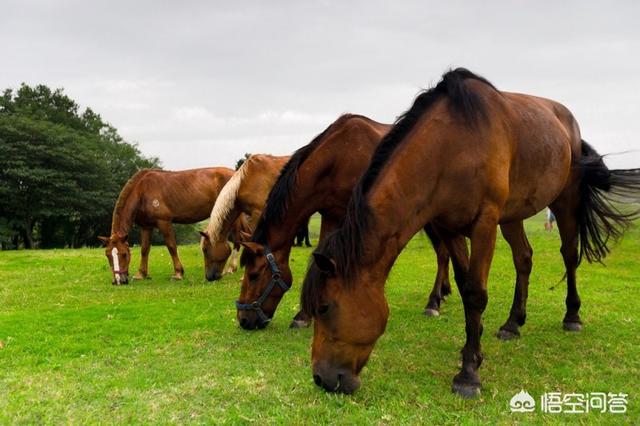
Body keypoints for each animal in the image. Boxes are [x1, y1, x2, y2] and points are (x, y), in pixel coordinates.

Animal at [102, 166, 235, 282]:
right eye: (108, 255)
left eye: (124, 254)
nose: (119, 280)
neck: (142, 190)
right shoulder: (146, 226)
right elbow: (144, 249)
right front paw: (141, 274)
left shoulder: (164, 222)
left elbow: (171, 246)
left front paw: (178, 273)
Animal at [236, 113, 456, 330]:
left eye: (253, 275)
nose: (243, 320)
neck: (338, 157)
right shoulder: (331, 215)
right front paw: (304, 316)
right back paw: (444, 292)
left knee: (443, 254)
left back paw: (433, 302)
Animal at [300, 68, 640, 398]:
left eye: (324, 307)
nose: (321, 378)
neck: (452, 147)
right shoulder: (450, 228)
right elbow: (465, 288)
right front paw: (473, 349)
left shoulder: (484, 224)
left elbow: (476, 293)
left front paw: (468, 374)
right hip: (513, 215)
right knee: (524, 258)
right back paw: (513, 323)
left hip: (565, 201)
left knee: (569, 255)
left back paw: (572, 317)